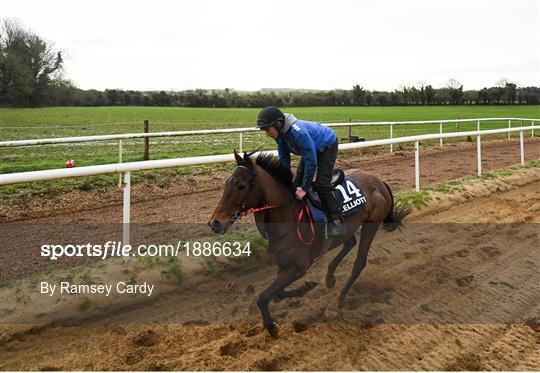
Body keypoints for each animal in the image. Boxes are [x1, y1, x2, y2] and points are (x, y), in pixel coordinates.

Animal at [209, 150, 412, 336]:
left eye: (242, 186)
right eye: (227, 183)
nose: (215, 223)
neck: (288, 216)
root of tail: (379, 181)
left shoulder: (298, 267)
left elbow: (263, 297)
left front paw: (271, 325)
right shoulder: (283, 265)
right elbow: (277, 294)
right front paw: (307, 287)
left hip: (371, 224)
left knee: (359, 262)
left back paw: (337, 301)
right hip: (347, 227)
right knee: (349, 243)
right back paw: (329, 277)